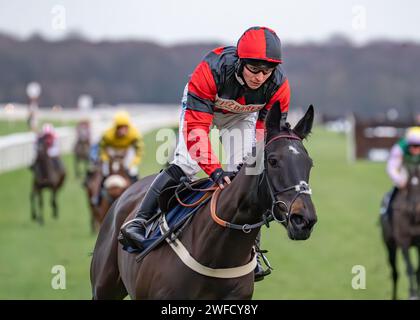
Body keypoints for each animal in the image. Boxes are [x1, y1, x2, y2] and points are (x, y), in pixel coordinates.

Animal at [380, 162, 420, 300]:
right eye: (409, 187)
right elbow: (409, 268)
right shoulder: (404, 242)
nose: (418, 208)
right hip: (390, 245)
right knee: (395, 273)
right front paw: (413, 293)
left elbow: (418, 270)